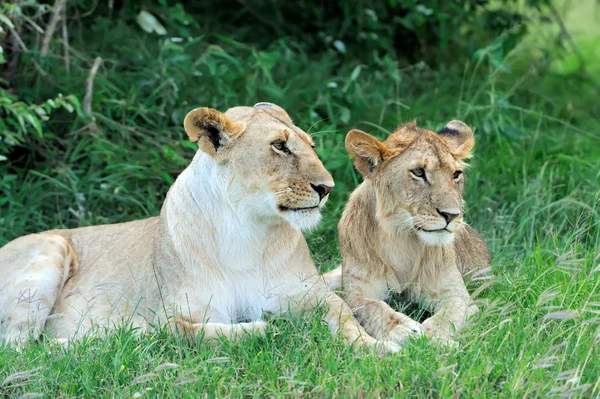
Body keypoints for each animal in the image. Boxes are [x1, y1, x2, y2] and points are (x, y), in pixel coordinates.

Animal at [0, 102, 396, 354]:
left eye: (311, 145)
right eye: (280, 146)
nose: (327, 188)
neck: (246, 230)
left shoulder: (309, 295)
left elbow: (345, 316)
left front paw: (380, 347)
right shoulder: (178, 313)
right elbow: (192, 333)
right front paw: (263, 329)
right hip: (51, 250)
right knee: (23, 348)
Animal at [326, 120, 490, 346]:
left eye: (456, 175)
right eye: (419, 172)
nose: (451, 215)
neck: (401, 236)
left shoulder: (458, 295)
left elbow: (448, 315)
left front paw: (433, 339)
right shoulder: (357, 291)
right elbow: (374, 307)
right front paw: (403, 329)